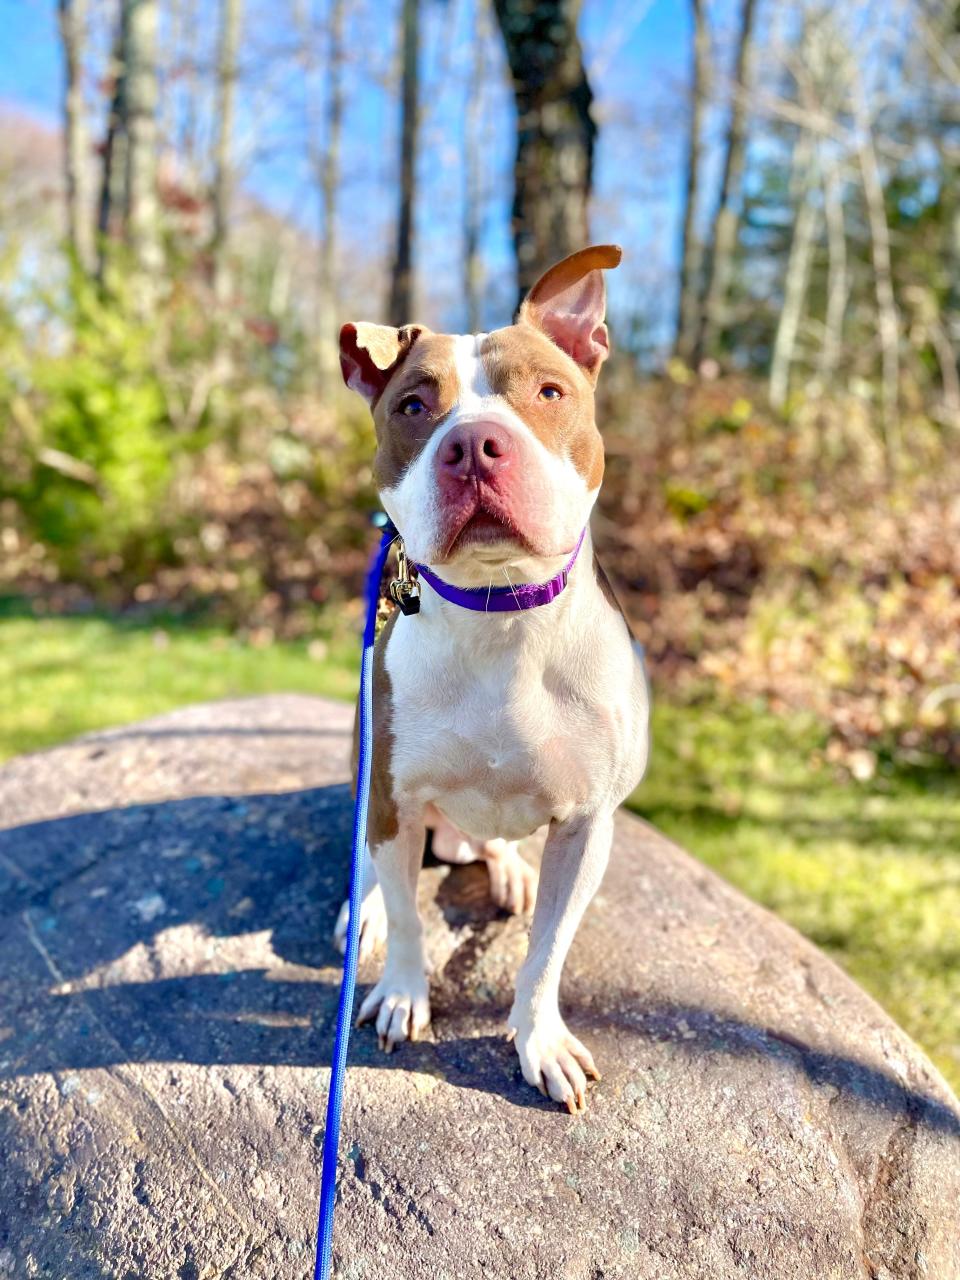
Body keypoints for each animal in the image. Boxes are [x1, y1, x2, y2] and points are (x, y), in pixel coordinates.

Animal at [335, 241, 650, 1111]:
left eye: (549, 392)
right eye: (414, 406)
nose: (474, 444)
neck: (500, 614)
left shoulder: (588, 827)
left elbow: (546, 956)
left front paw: (539, 1041)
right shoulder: (394, 798)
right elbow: (409, 916)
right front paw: (402, 993)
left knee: (496, 846)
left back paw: (508, 870)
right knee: (375, 870)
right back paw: (361, 911)